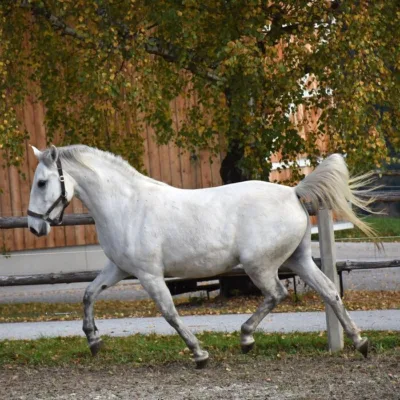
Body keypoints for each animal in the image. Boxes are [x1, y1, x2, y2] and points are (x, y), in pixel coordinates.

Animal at [28, 145, 376, 368]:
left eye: (42, 182)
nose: (34, 227)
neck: (127, 207)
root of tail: (292, 192)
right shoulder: (118, 269)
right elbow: (88, 294)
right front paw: (93, 341)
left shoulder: (149, 275)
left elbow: (170, 314)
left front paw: (199, 354)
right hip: (298, 260)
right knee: (329, 291)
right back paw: (360, 342)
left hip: (260, 265)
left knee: (277, 294)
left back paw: (246, 338)